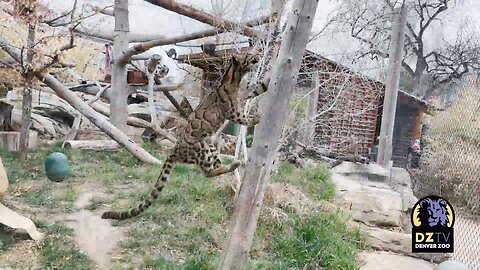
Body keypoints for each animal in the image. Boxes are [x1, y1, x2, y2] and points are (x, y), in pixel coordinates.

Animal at [101, 53, 270, 220]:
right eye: (248, 55)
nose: (257, 55)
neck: (235, 78)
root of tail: (174, 151)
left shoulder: (246, 93)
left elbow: (260, 87)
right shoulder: (232, 110)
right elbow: (243, 118)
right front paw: (255, 118)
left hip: (210, 147)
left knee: (213, 166)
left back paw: (231, 165)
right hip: (203, 147)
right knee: (207, 172)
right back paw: (233, 165)